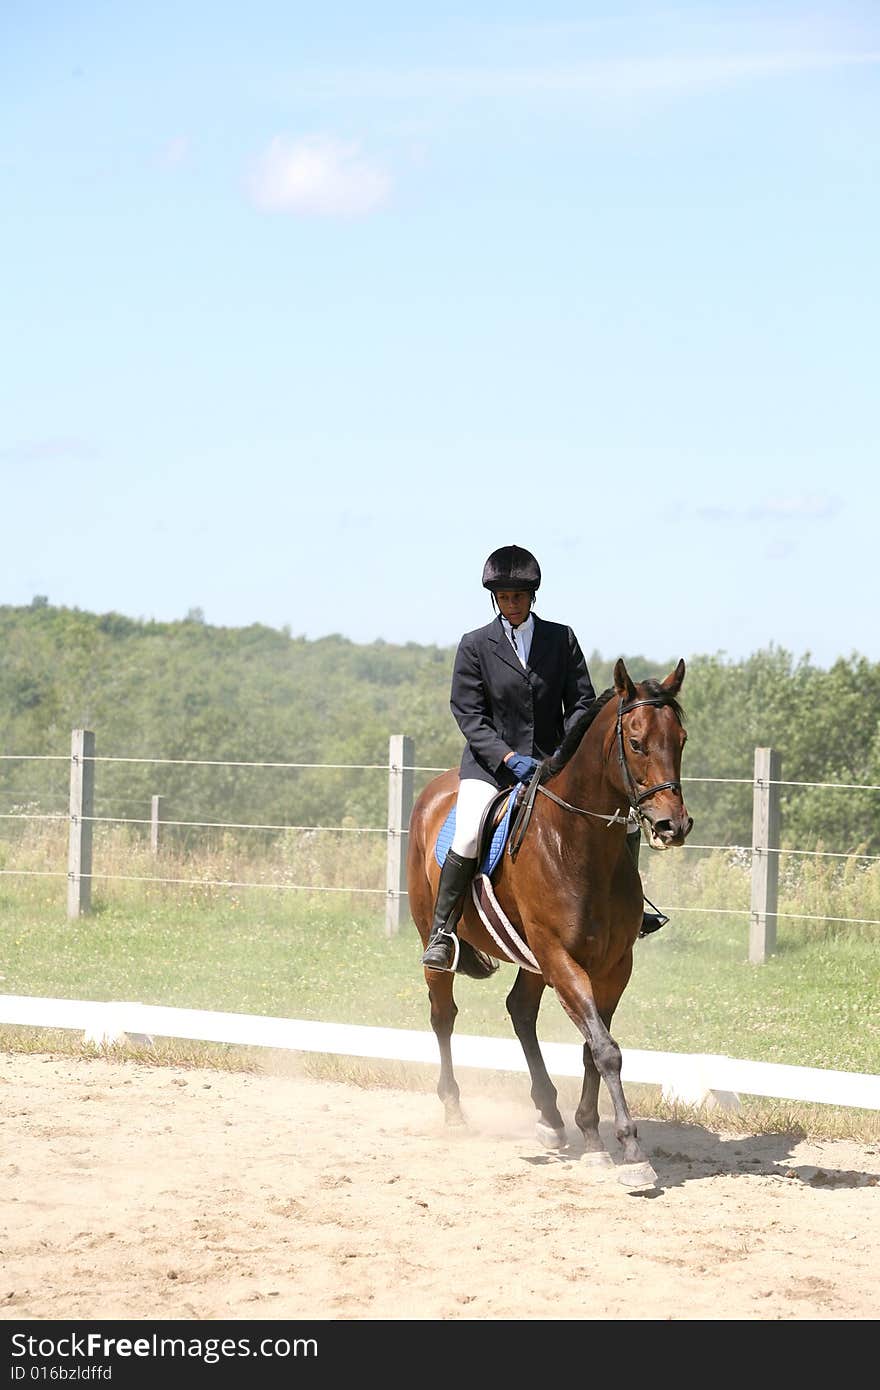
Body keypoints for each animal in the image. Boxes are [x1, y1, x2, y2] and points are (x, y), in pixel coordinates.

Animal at [405, 656, 692, 1189]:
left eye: (681, 739)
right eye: (637, 742)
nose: (673, 826)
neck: (579, 845)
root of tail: (436, 789)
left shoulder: (613, 966)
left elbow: (593, 1047)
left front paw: (594, 1136)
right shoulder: (561, 957)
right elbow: (606, 1049)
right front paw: (631, 1151)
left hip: (533, 959)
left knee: (520, 1011)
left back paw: (551, 1117)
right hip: (444, 940)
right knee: (443, 1015)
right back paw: (454, 1110)